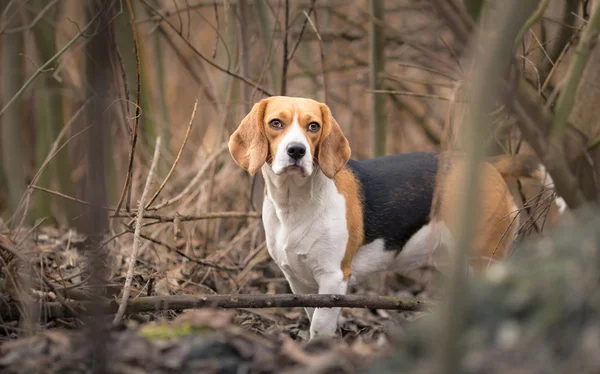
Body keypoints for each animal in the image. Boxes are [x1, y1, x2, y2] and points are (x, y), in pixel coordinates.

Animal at [229, 95, 568, 338]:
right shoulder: (299, 282)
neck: (296, 202)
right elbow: (313, 317)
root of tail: (490, 164)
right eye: (276, 123)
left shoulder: (334, 278)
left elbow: (320, 328)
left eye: (313, 127)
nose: (297, 151)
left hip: (484, 258)